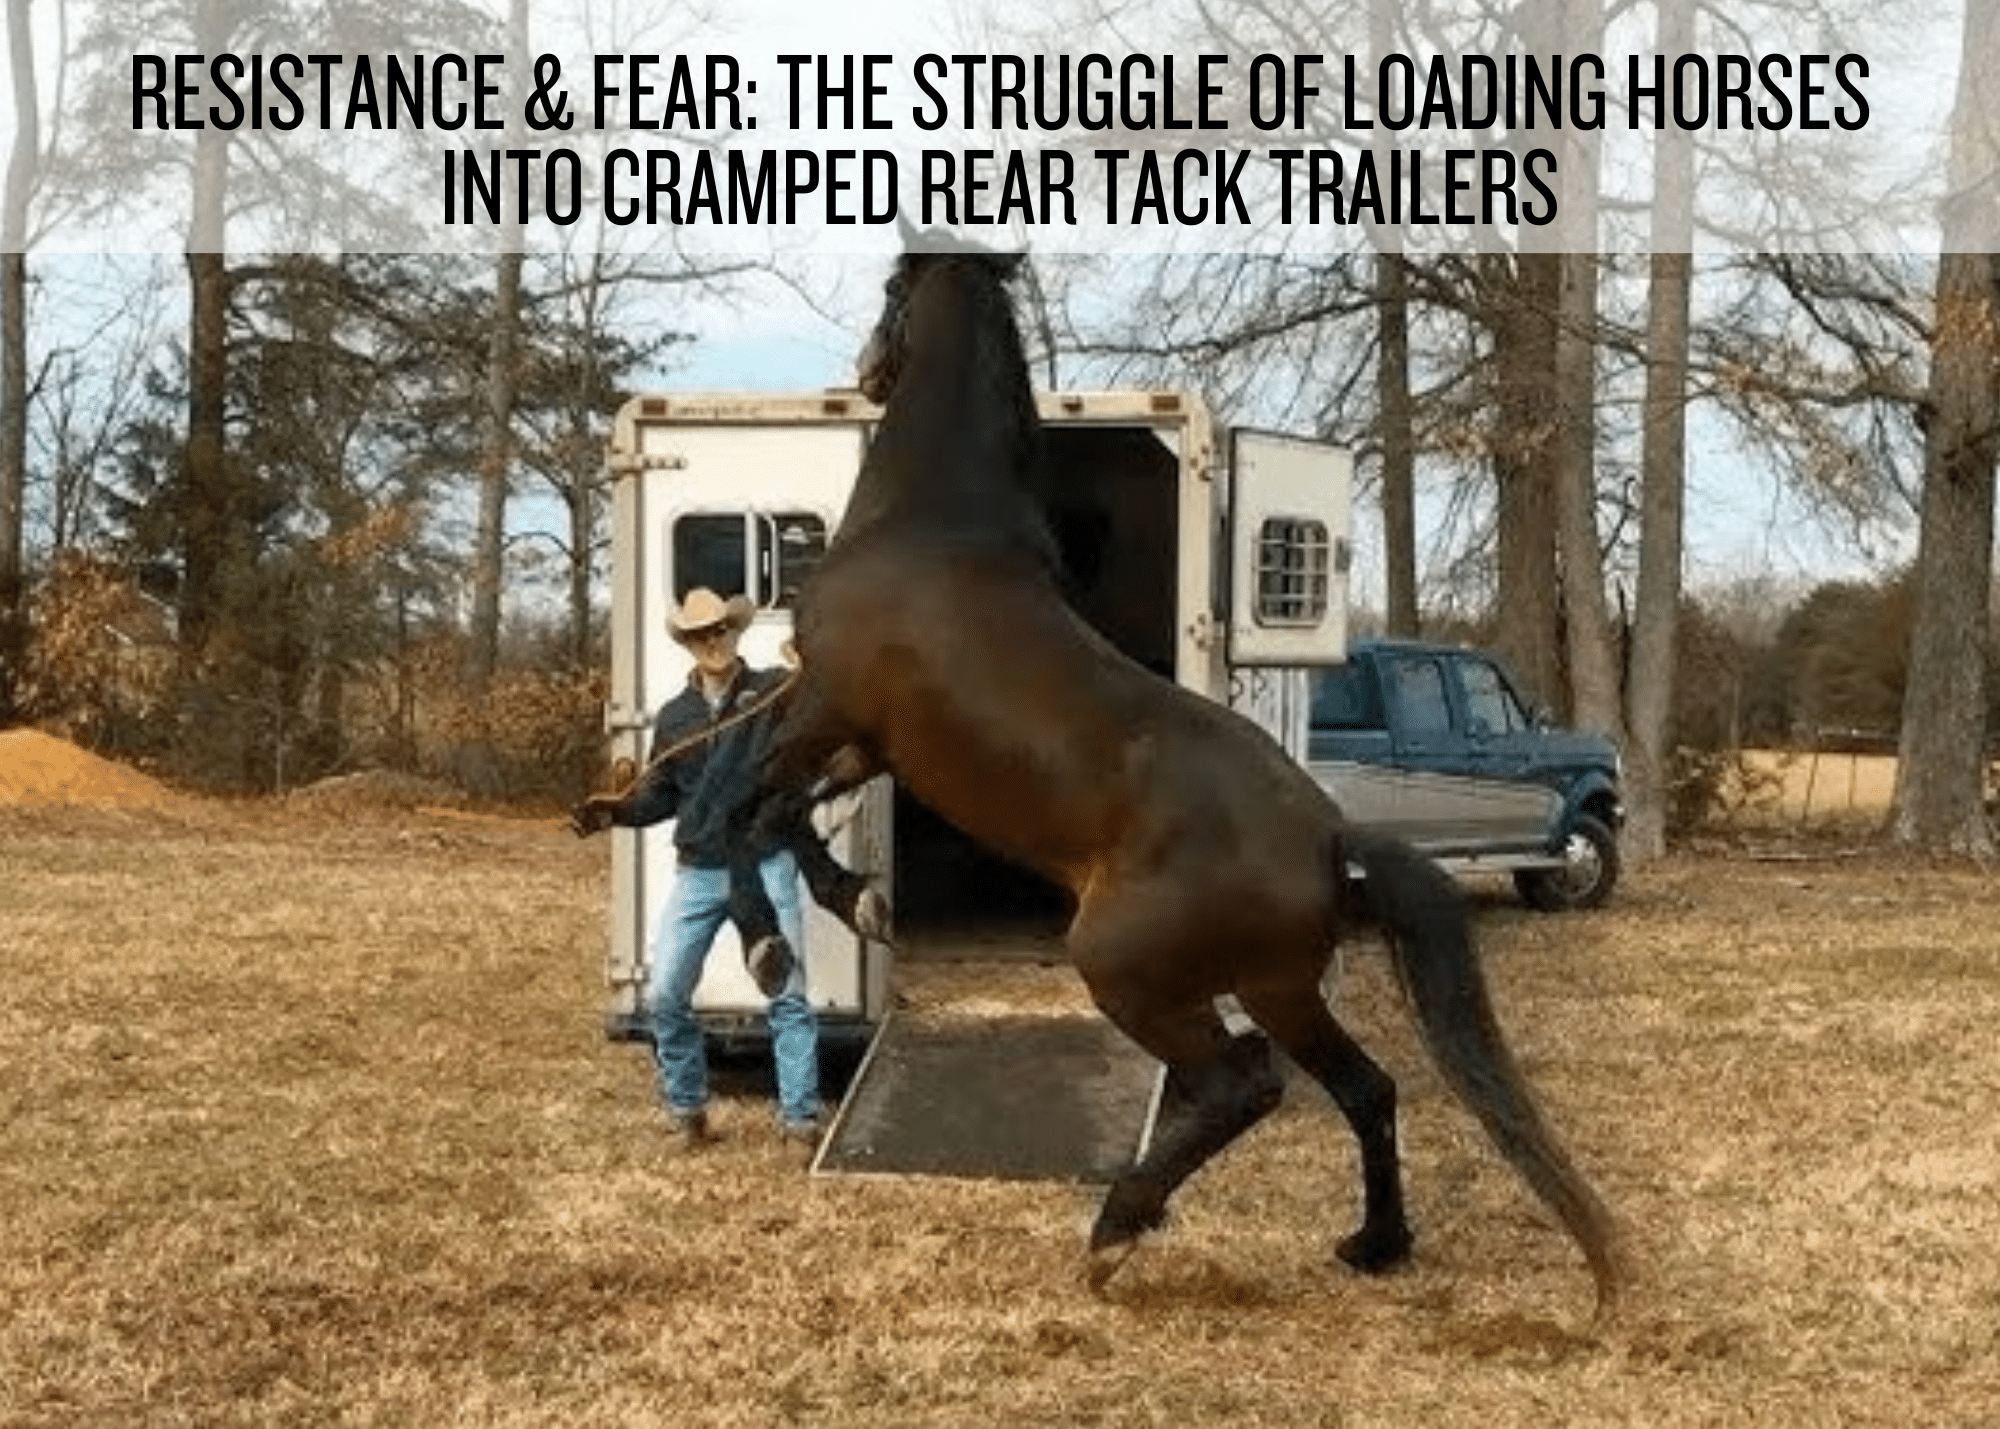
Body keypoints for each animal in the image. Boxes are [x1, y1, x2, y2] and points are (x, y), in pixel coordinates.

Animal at [736, 239, 1624, 1320]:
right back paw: (1371, 1243)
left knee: (1245, 1084)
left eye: (890, 293)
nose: (864, 370)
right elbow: (776, 813)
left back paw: (1117, 1229)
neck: (927, 524)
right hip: (1279, 988)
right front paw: (846, 900)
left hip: (1131, 972)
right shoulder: (860, 746)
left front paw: (822, 916)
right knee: (1363, 1087)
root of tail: (1327, 835)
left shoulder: (828, 710)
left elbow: (755, 813)